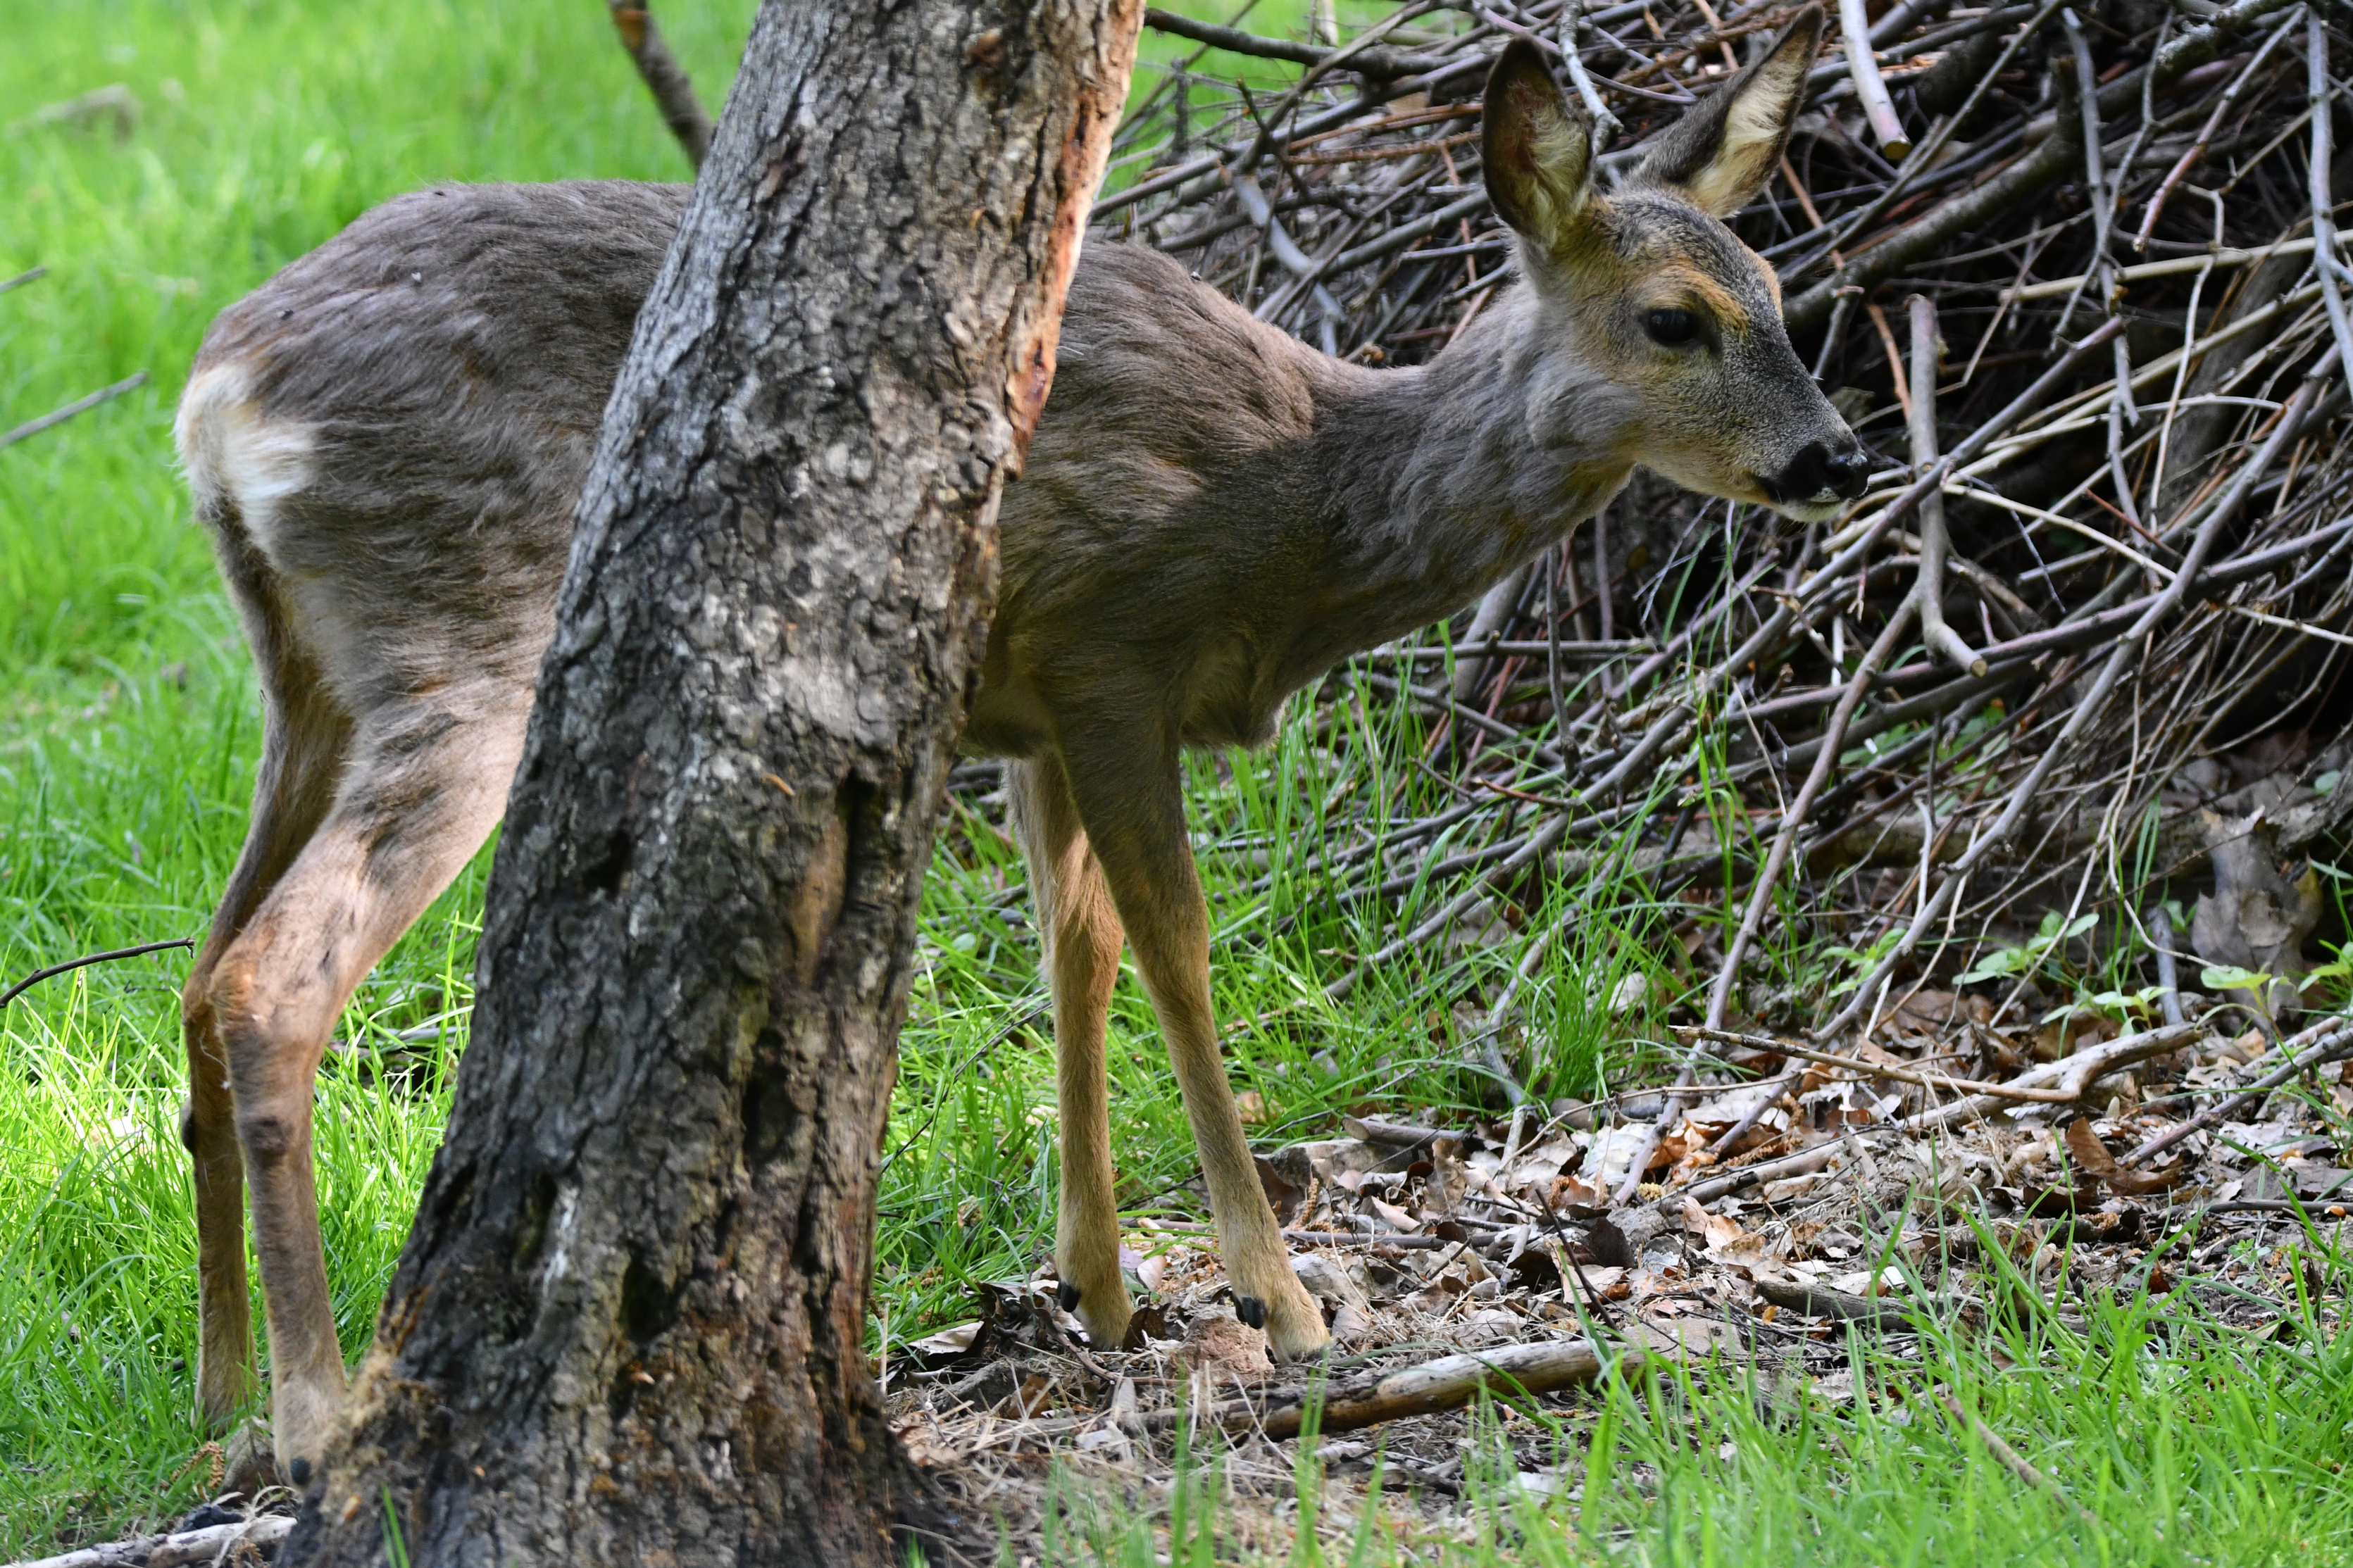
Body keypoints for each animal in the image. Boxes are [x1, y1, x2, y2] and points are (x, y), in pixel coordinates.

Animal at [170, 15, 1854, 1486]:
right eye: (1672, 319)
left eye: (1776, 287)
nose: (1831, 454)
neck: (1307, 508)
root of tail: (214, 400)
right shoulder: (1114, 644)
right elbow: (1175, 947)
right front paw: (1281, 1300)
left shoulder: (1034, 712)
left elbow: (1075, 952)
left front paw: (1100, 1285)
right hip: (465, 624)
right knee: (272, 974)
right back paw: (317, 1411)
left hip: (309, 678)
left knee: (197, 967)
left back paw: (223, 1393)